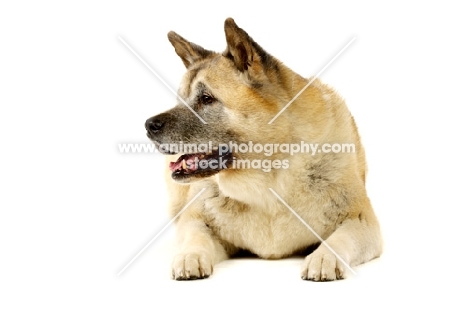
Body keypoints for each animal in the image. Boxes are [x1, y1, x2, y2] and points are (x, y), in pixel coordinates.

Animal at [144, 17, 382, 282]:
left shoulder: (362, 222)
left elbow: (339, 239)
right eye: (180, 100)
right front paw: (189, 256)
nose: (149, 126)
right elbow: (195, 236)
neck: (267, 182)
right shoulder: (196, 220)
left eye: (206, 99)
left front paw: (324, 257)